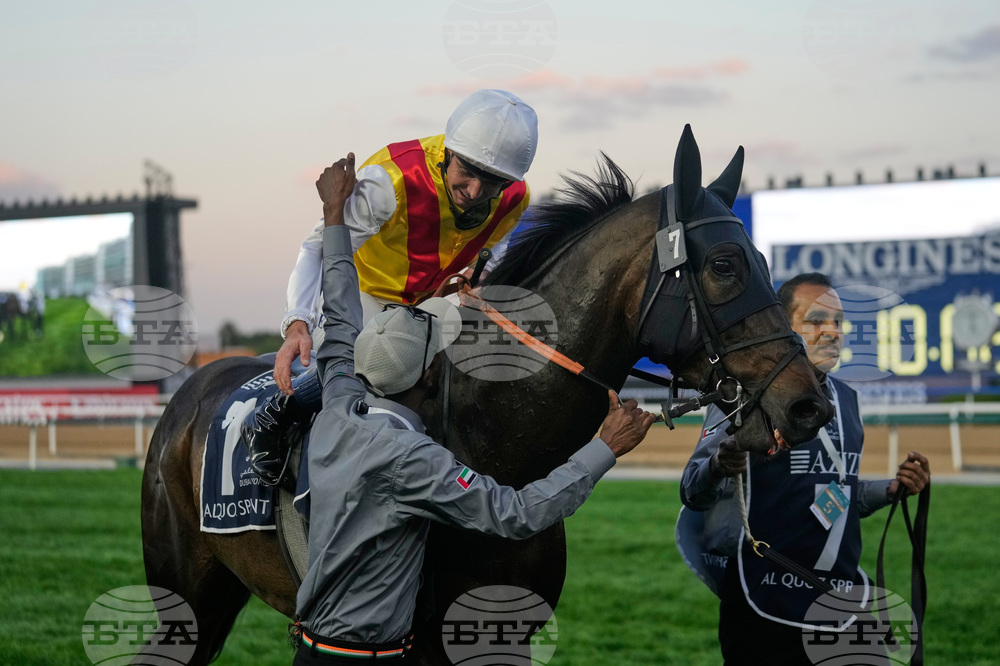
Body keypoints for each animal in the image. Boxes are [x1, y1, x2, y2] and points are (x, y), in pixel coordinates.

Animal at [141, 126, 831, 665]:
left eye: (763, 261)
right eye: (724, 265)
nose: (809, 405)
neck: (498, 443)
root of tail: (191, 389)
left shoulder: (507, 636)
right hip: (185, 597)